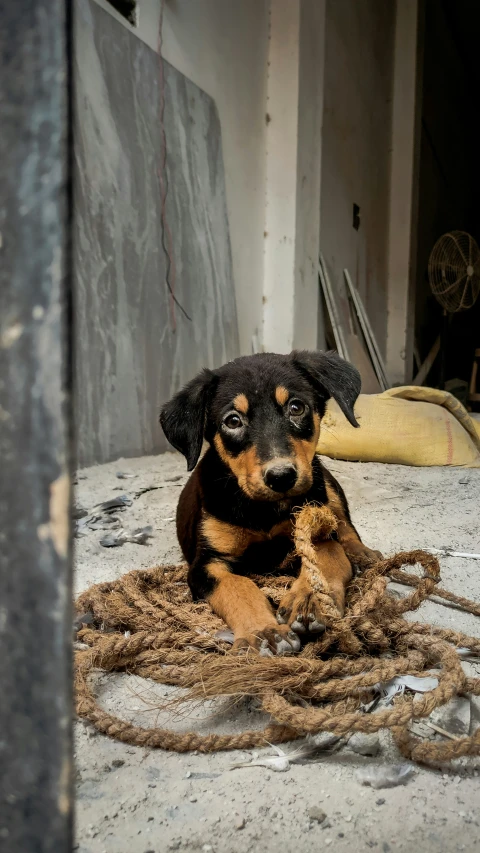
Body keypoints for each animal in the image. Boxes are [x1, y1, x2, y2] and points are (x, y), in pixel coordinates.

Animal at [159, 350, 380, 656]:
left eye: (296, 407)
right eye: (232, 421)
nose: (281, 477)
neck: (264, 509)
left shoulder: (317, 533)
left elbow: (323, 560)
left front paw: (308, 600)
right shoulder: (208, 563)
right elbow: (238, 587)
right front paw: (263, 632)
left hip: (323, 480)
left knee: (344, 523)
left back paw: (361, 552)